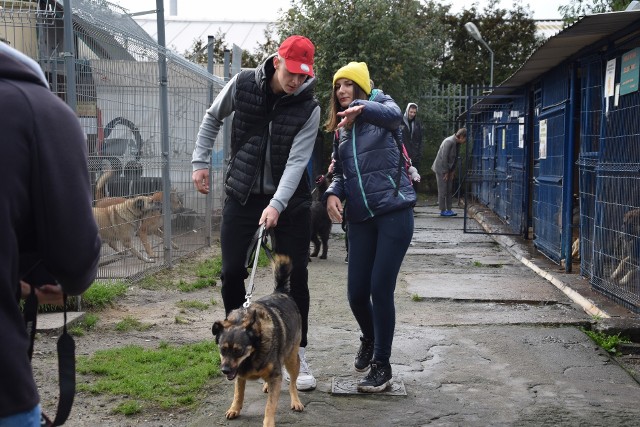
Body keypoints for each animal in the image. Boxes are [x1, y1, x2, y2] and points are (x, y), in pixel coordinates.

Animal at [211, 256, 304, 426]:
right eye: (222, 349)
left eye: (239, 351)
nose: (225, 370)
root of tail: (281, 292)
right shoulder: (239, 375)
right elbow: (238, 393)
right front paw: (234, 409)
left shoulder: (275, 375)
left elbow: (270, 405)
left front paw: (268, 423)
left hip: (292, 358)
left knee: (293, 383)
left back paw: (296, 401)